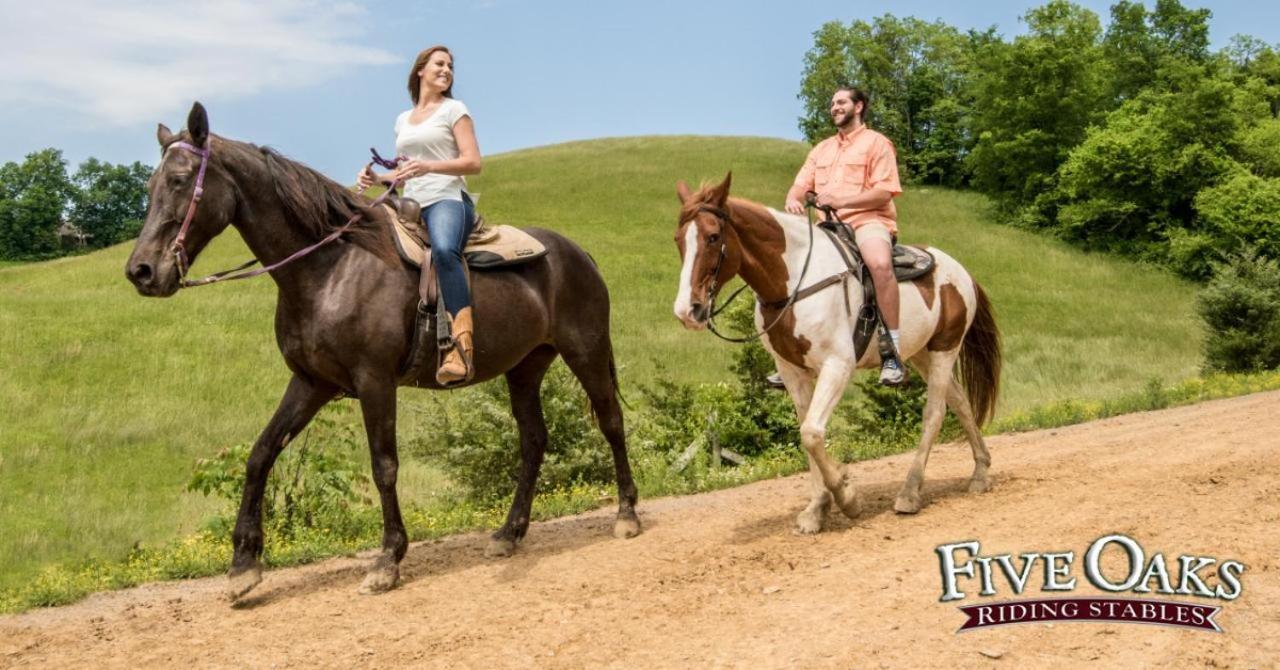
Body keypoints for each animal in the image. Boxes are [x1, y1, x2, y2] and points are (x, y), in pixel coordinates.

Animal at [129, 102, 640, 599]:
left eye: (179, 181)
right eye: (151, 185)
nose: (141, 271)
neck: (330, 268)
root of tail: (578, 253)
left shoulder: (375, 382)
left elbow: (384, 466)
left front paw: (387, 560)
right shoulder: (311, 382)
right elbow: (260, 455)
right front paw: (243, 566)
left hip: (586, 351)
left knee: (611, 422)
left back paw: (627, 515)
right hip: (525, 369)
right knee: (533, 441)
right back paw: (509, 533)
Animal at [670, 174, 998, 535]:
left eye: (713, 237)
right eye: (678, 240)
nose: (687, 311)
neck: (794, 284)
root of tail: (962, 272)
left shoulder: (837, 365)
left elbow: (812, 433)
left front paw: (846, 496)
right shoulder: (791, 371)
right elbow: (806, 432)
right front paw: (816, 509)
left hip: (944, 349)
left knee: (935, 414)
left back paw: (910, 493)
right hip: (922, 354)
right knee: (960, 401)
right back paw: (980, 472)